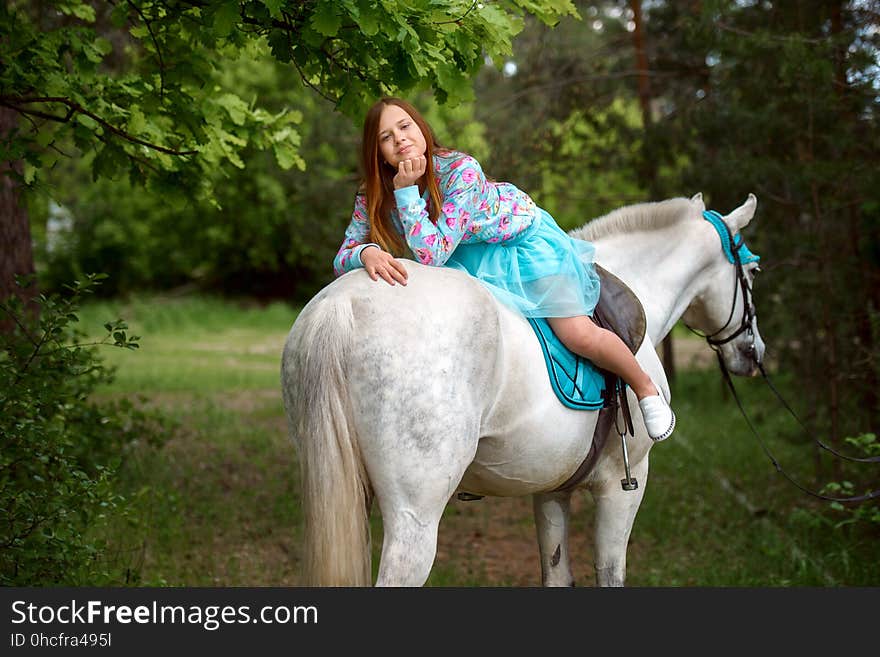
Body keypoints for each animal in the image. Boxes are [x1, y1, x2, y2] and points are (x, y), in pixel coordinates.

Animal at [282, 191, 764, 584]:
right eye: (752, 271)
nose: (754, 351)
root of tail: (343, 304)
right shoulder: (625, 486)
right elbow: (610, 573)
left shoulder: (550, 490)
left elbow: (556, 574)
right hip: (413, 519)